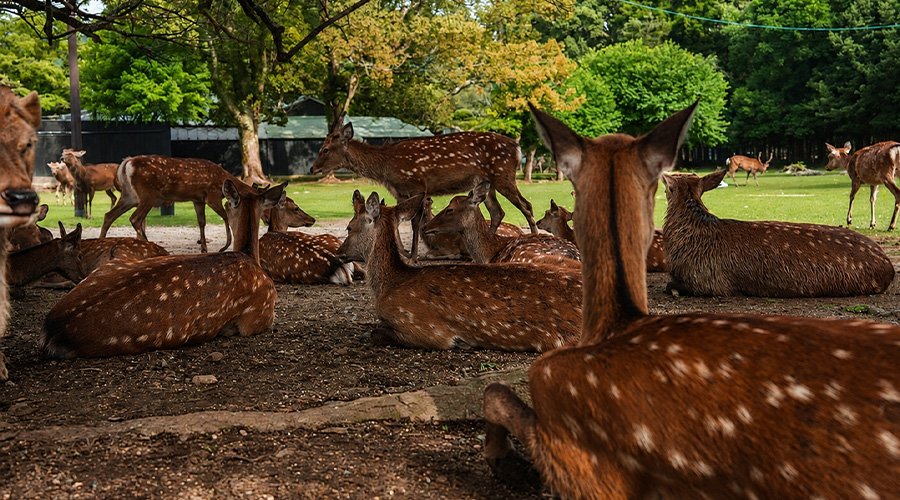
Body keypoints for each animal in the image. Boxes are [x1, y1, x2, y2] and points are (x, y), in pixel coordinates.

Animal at [99, 155, 240, 253]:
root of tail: (126, 163)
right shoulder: (212, 196)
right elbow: (225, 216)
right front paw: (224, 247)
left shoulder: (198, 200)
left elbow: (202, 222)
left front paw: (204, 248)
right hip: (147, 195)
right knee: (134, 218)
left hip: (130, 196)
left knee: (109, 215)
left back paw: (100, 243)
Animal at [310, 115, 538, 260]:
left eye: (325, 149)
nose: (312, 168)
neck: (386, 167)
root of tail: (517, 148)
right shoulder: (400, 192)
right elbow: (397, 220)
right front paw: (406, 253)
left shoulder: (417, 185)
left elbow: (414, 222)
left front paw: (413, 257)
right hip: (485, 182)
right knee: (497, 211)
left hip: (503, 175)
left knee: (526, 205)